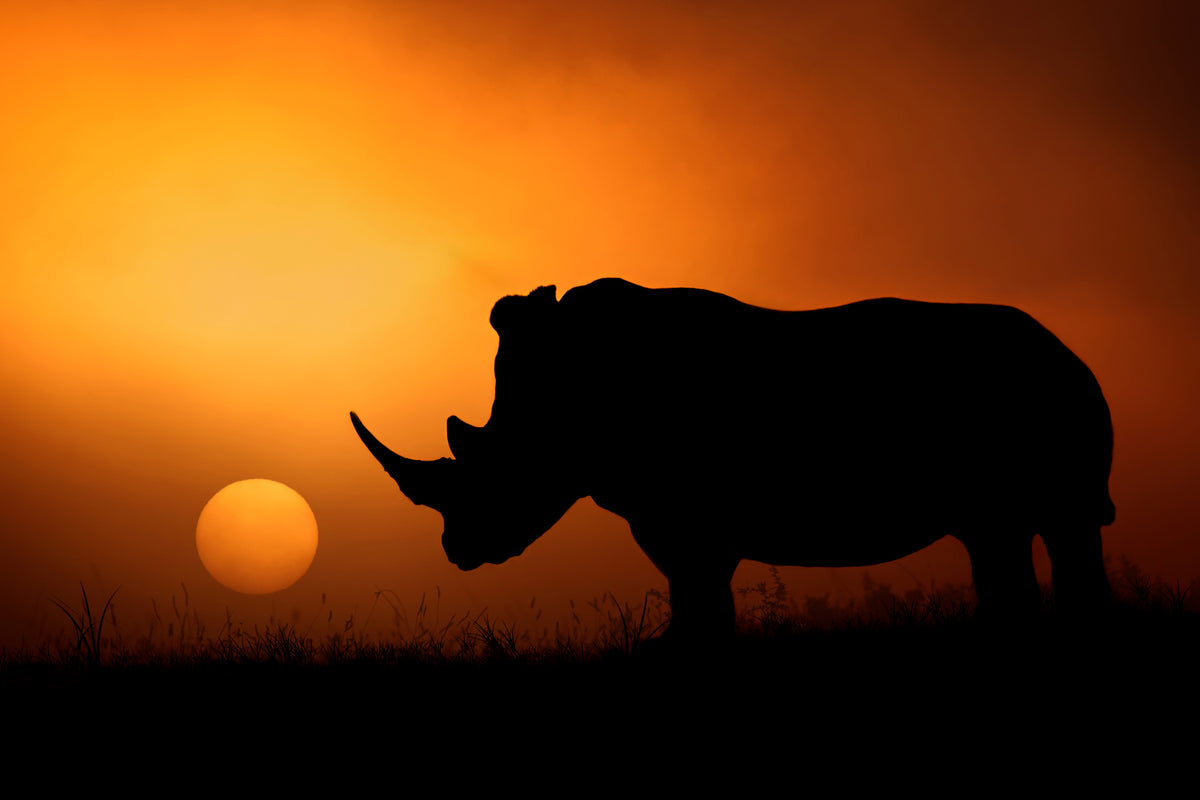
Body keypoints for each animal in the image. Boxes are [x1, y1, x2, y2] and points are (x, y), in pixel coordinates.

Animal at [352, 278, 1114, 638]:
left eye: (495, 472)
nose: (457, 550)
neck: (561, 404)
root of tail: (1070, 352)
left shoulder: (681, 512)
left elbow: (698, 589)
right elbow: (697, 591)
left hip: (1043, 396)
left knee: (1048, 527)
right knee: (1008, 536)